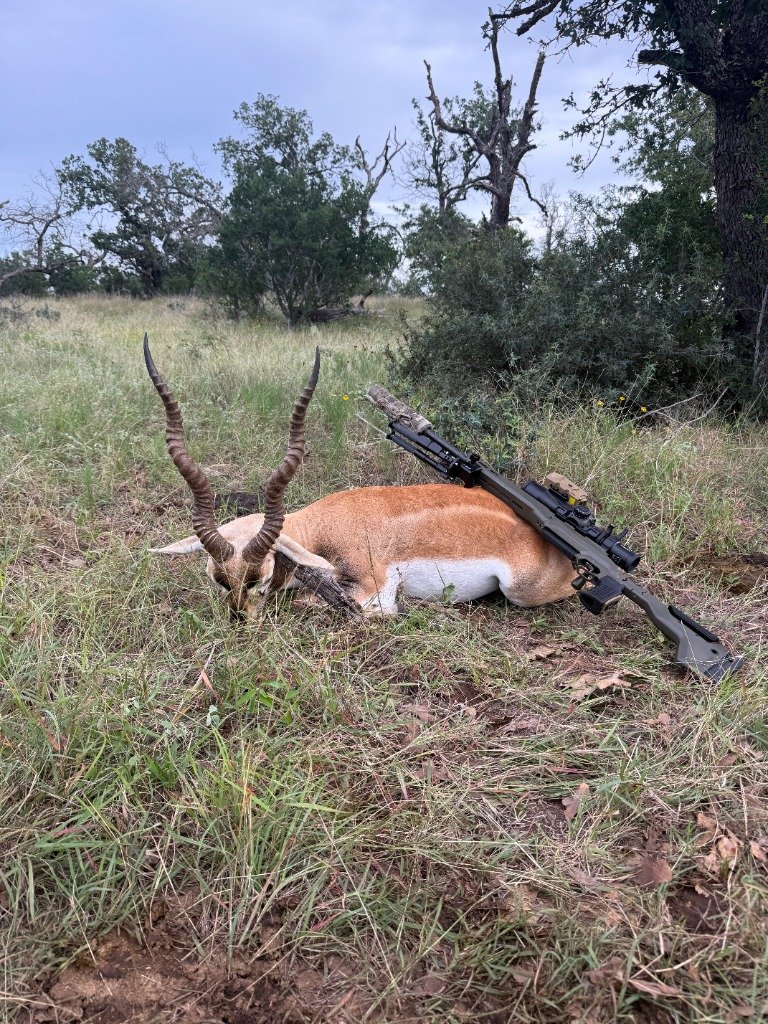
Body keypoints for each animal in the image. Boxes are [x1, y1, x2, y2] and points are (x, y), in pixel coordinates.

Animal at [144, 336, 578, 620]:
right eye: (217, 579)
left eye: (260, 577)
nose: (240, 618)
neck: (320, 526)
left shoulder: (375, 589)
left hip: (521, 591)